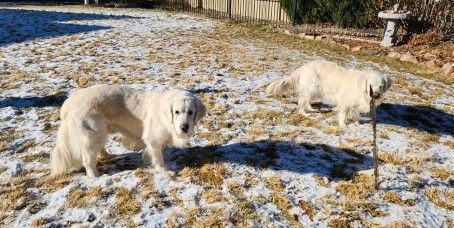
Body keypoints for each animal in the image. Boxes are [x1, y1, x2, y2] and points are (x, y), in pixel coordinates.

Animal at [50, 84, 207, 177]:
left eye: (191, 112)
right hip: (92, 134)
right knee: (88, 159)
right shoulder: (153, 139)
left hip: (100, 132)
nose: (184, 127)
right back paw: (95, 175)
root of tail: (70, 101)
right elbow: (158, 157)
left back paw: (108, 155)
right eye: (177, 112)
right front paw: (164, 170)